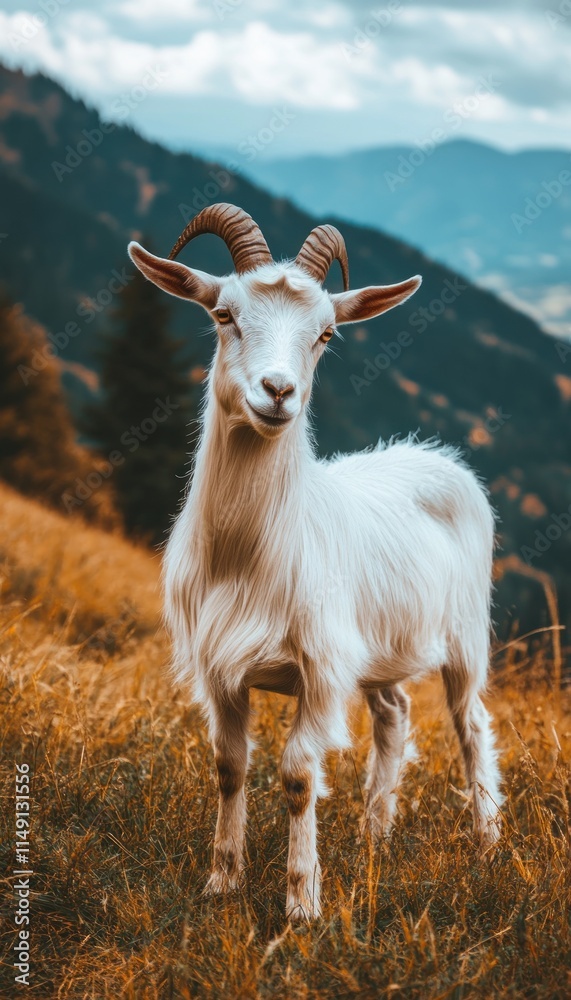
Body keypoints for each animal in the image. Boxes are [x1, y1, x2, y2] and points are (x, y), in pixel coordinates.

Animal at [128, 203, 503, 922]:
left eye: (326, 333)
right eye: (223, 314)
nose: (278, 391)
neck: (250, 555)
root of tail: (438, 456)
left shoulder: (322, 670)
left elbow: (299, 774)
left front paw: (302, 903)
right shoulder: (221, 667)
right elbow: (229, 765)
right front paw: (222, 882)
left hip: (467, 636)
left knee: (470, 725)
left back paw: (488, 843)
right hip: (379, 651)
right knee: (393, 715)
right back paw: (373, 835)